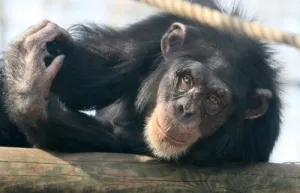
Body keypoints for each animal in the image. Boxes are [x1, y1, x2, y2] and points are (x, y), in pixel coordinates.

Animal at [0, 0, 282, 166]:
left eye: (214, 100)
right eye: (187, 79)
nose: (186, 110)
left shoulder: (243, 143)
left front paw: (30, 91)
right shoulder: (143, 38)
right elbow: (72, 76)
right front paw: (27, 71)